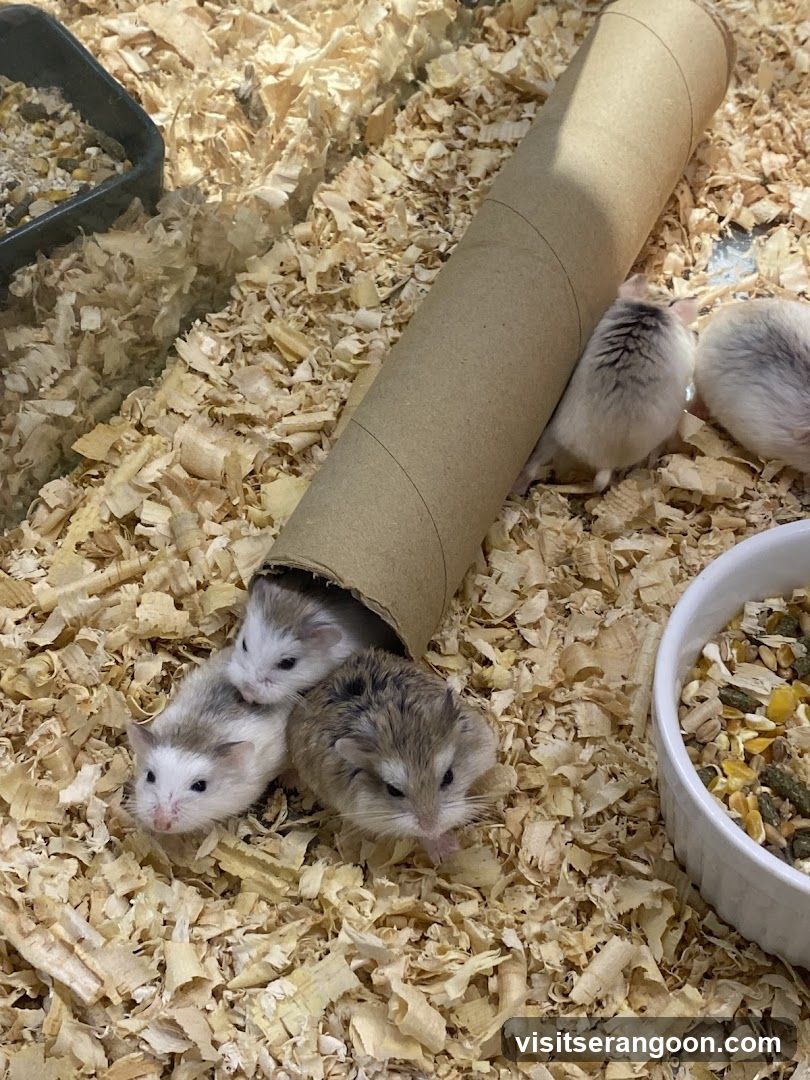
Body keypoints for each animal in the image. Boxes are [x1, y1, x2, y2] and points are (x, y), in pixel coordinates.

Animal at [513, 274, 698, 494]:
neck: (652, 305)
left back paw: (520, 490)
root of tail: (602, 460)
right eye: (665, 292)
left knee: (532, 467)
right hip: (665, 430)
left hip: (550, 435)